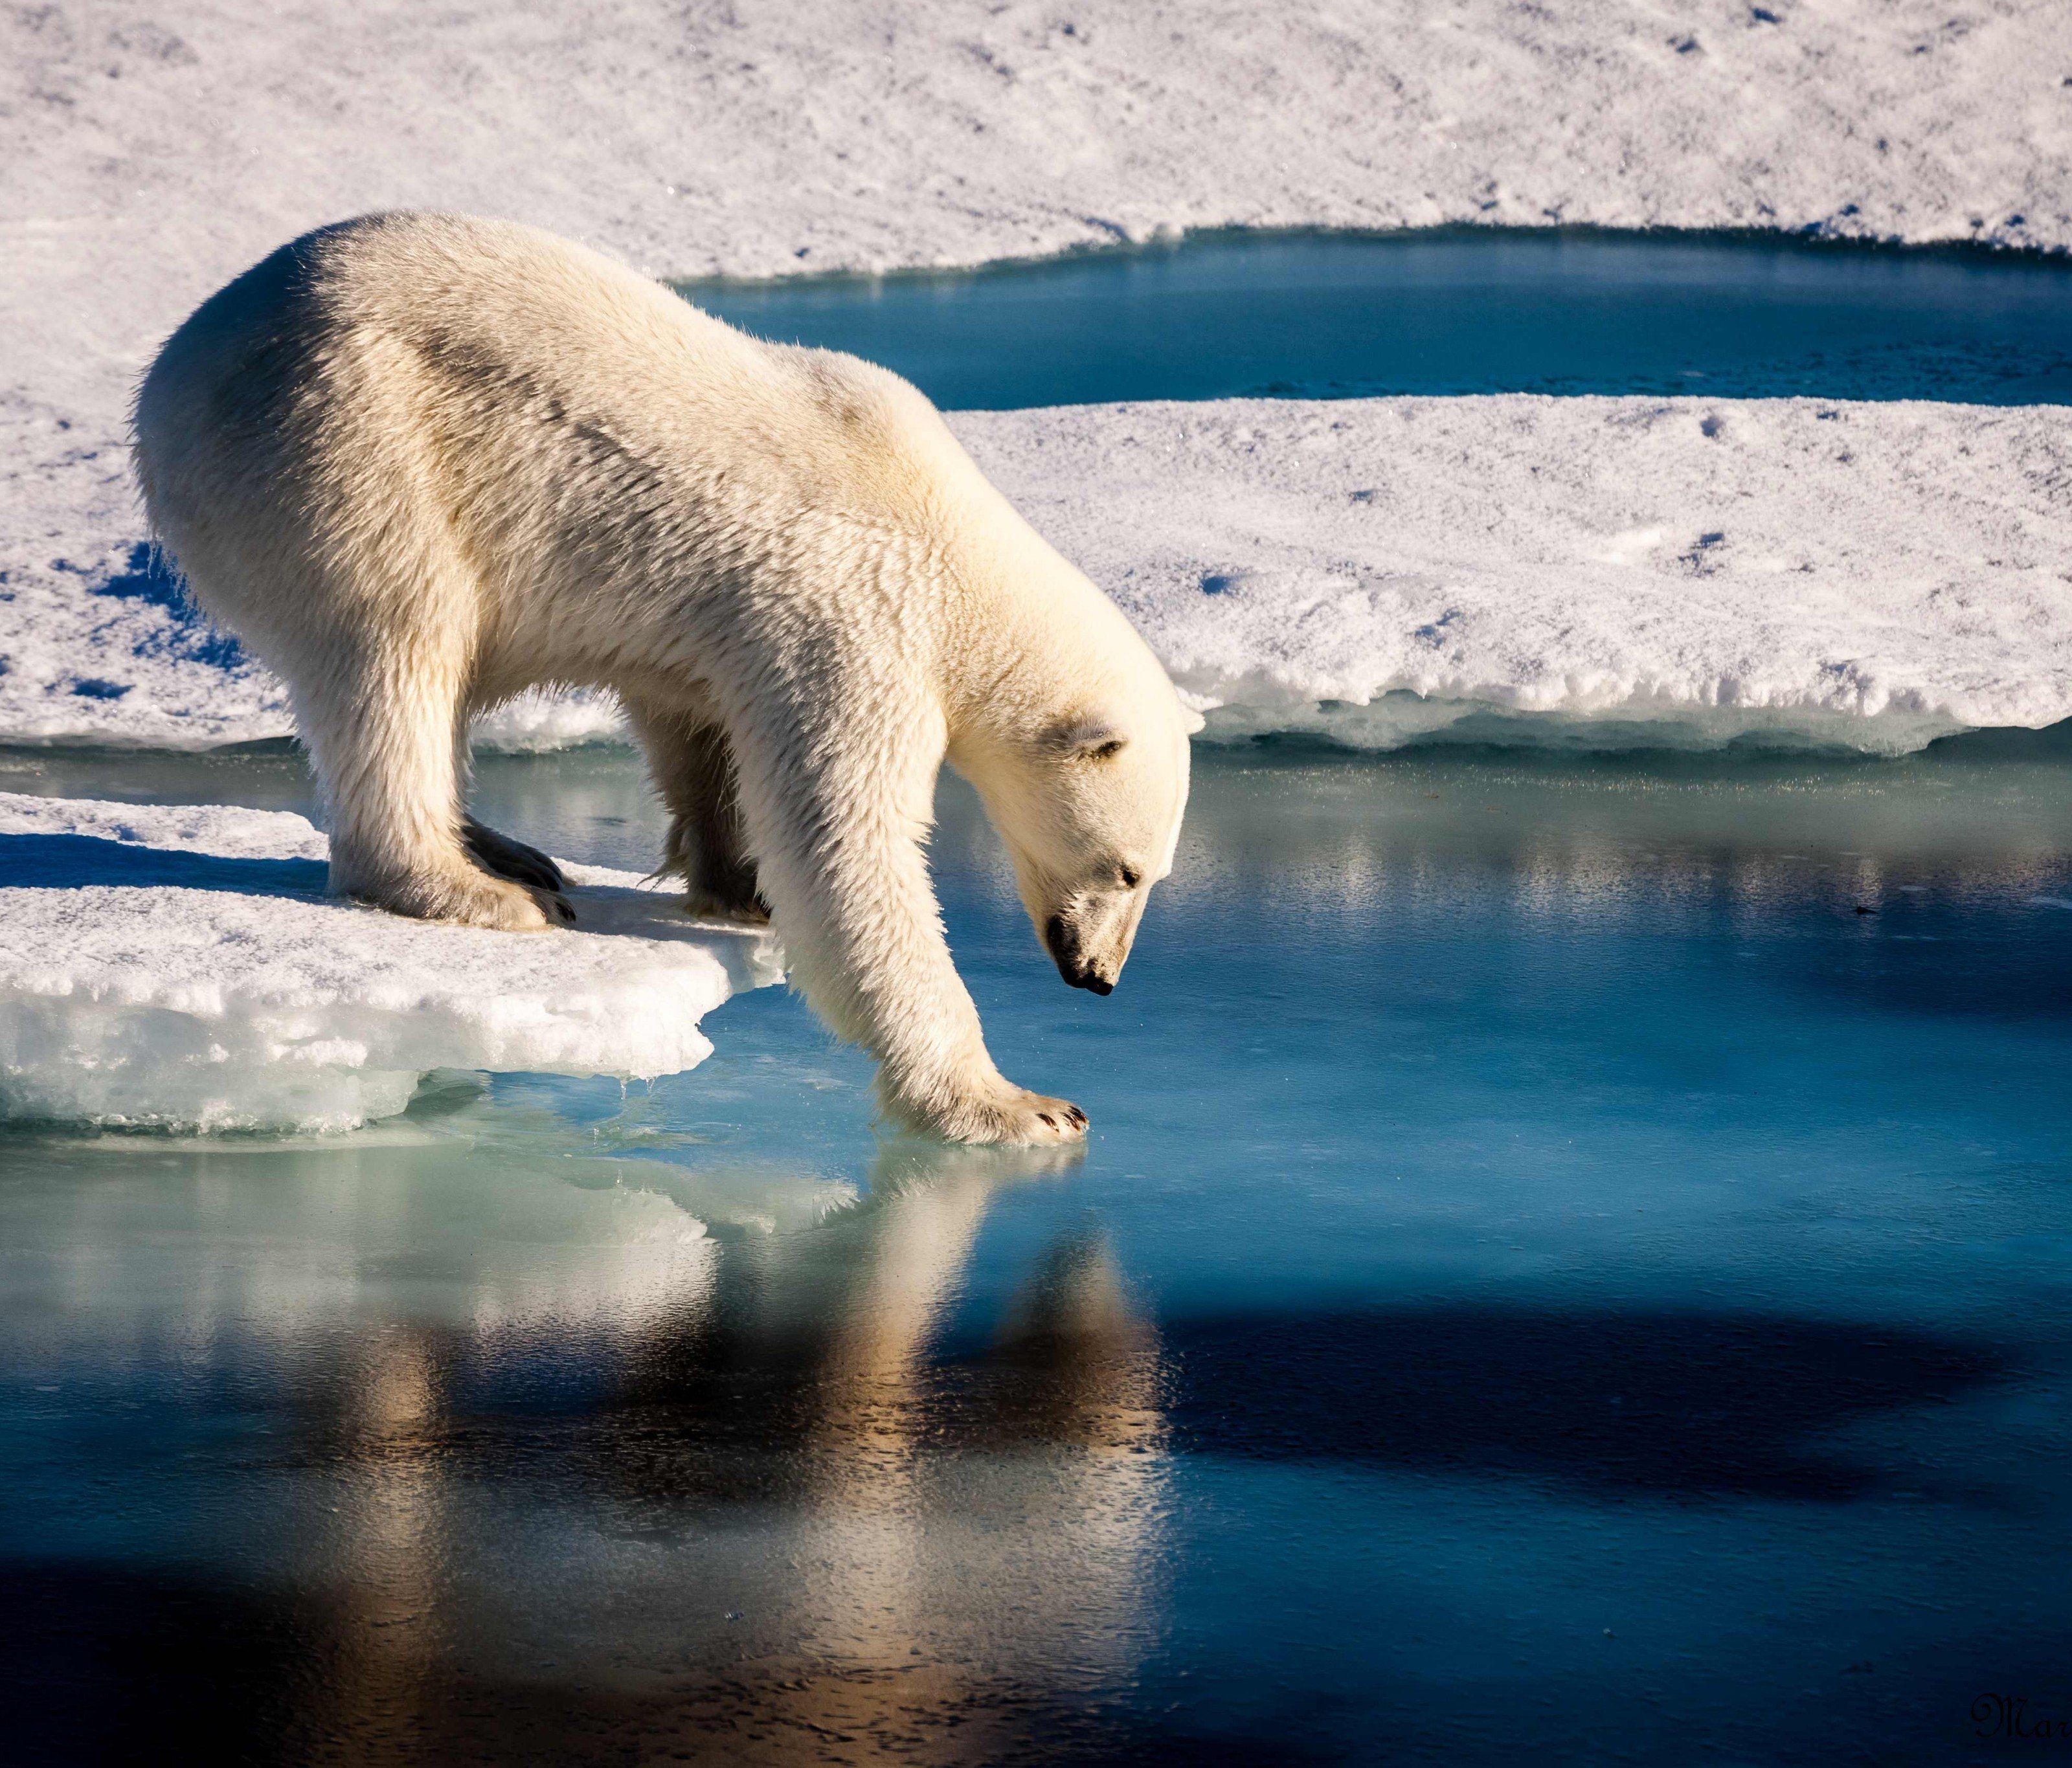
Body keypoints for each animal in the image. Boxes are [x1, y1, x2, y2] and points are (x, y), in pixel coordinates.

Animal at [133, 213, 1202, 1144]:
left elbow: (701, 730)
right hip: (348, 443)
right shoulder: (857, 618)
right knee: (398, 644)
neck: (955, 546)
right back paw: (475, 887)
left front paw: (737, 884)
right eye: (1126, 868)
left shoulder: (731, 627)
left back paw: (506, 848)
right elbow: (846, 844)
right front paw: (1019, 1104)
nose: (1099, 976)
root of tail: (174, 368)